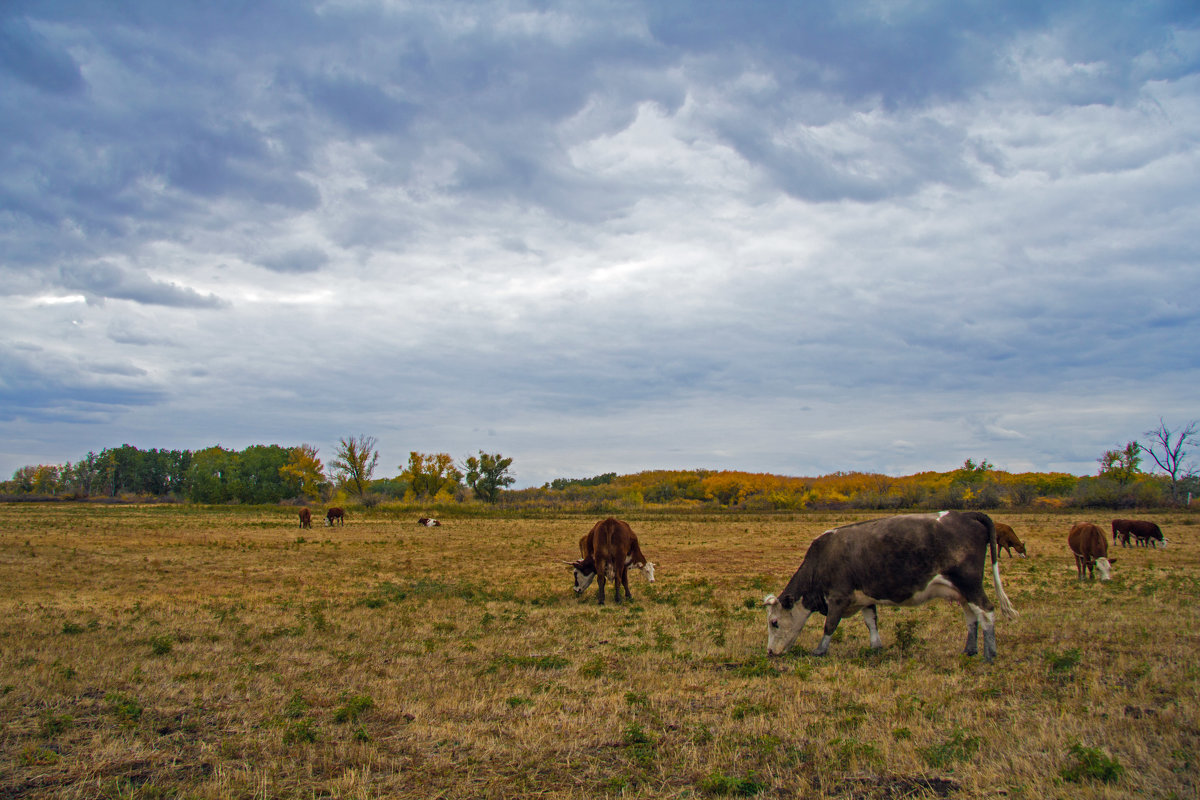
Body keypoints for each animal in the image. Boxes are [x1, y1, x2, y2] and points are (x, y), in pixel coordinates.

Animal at [763, 513, 1017, 662]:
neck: (821, 561)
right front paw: (876, 647)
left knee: (986, 611)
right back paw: (969, 650)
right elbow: (871, 622)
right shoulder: (865, 598)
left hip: (970, 584)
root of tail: (964, 514)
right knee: (971, 618)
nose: (770, 652)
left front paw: (819, 651)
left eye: (774, 622)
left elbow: (830, 626)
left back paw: (989, 654)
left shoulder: (837, 597)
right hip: (961, 591)